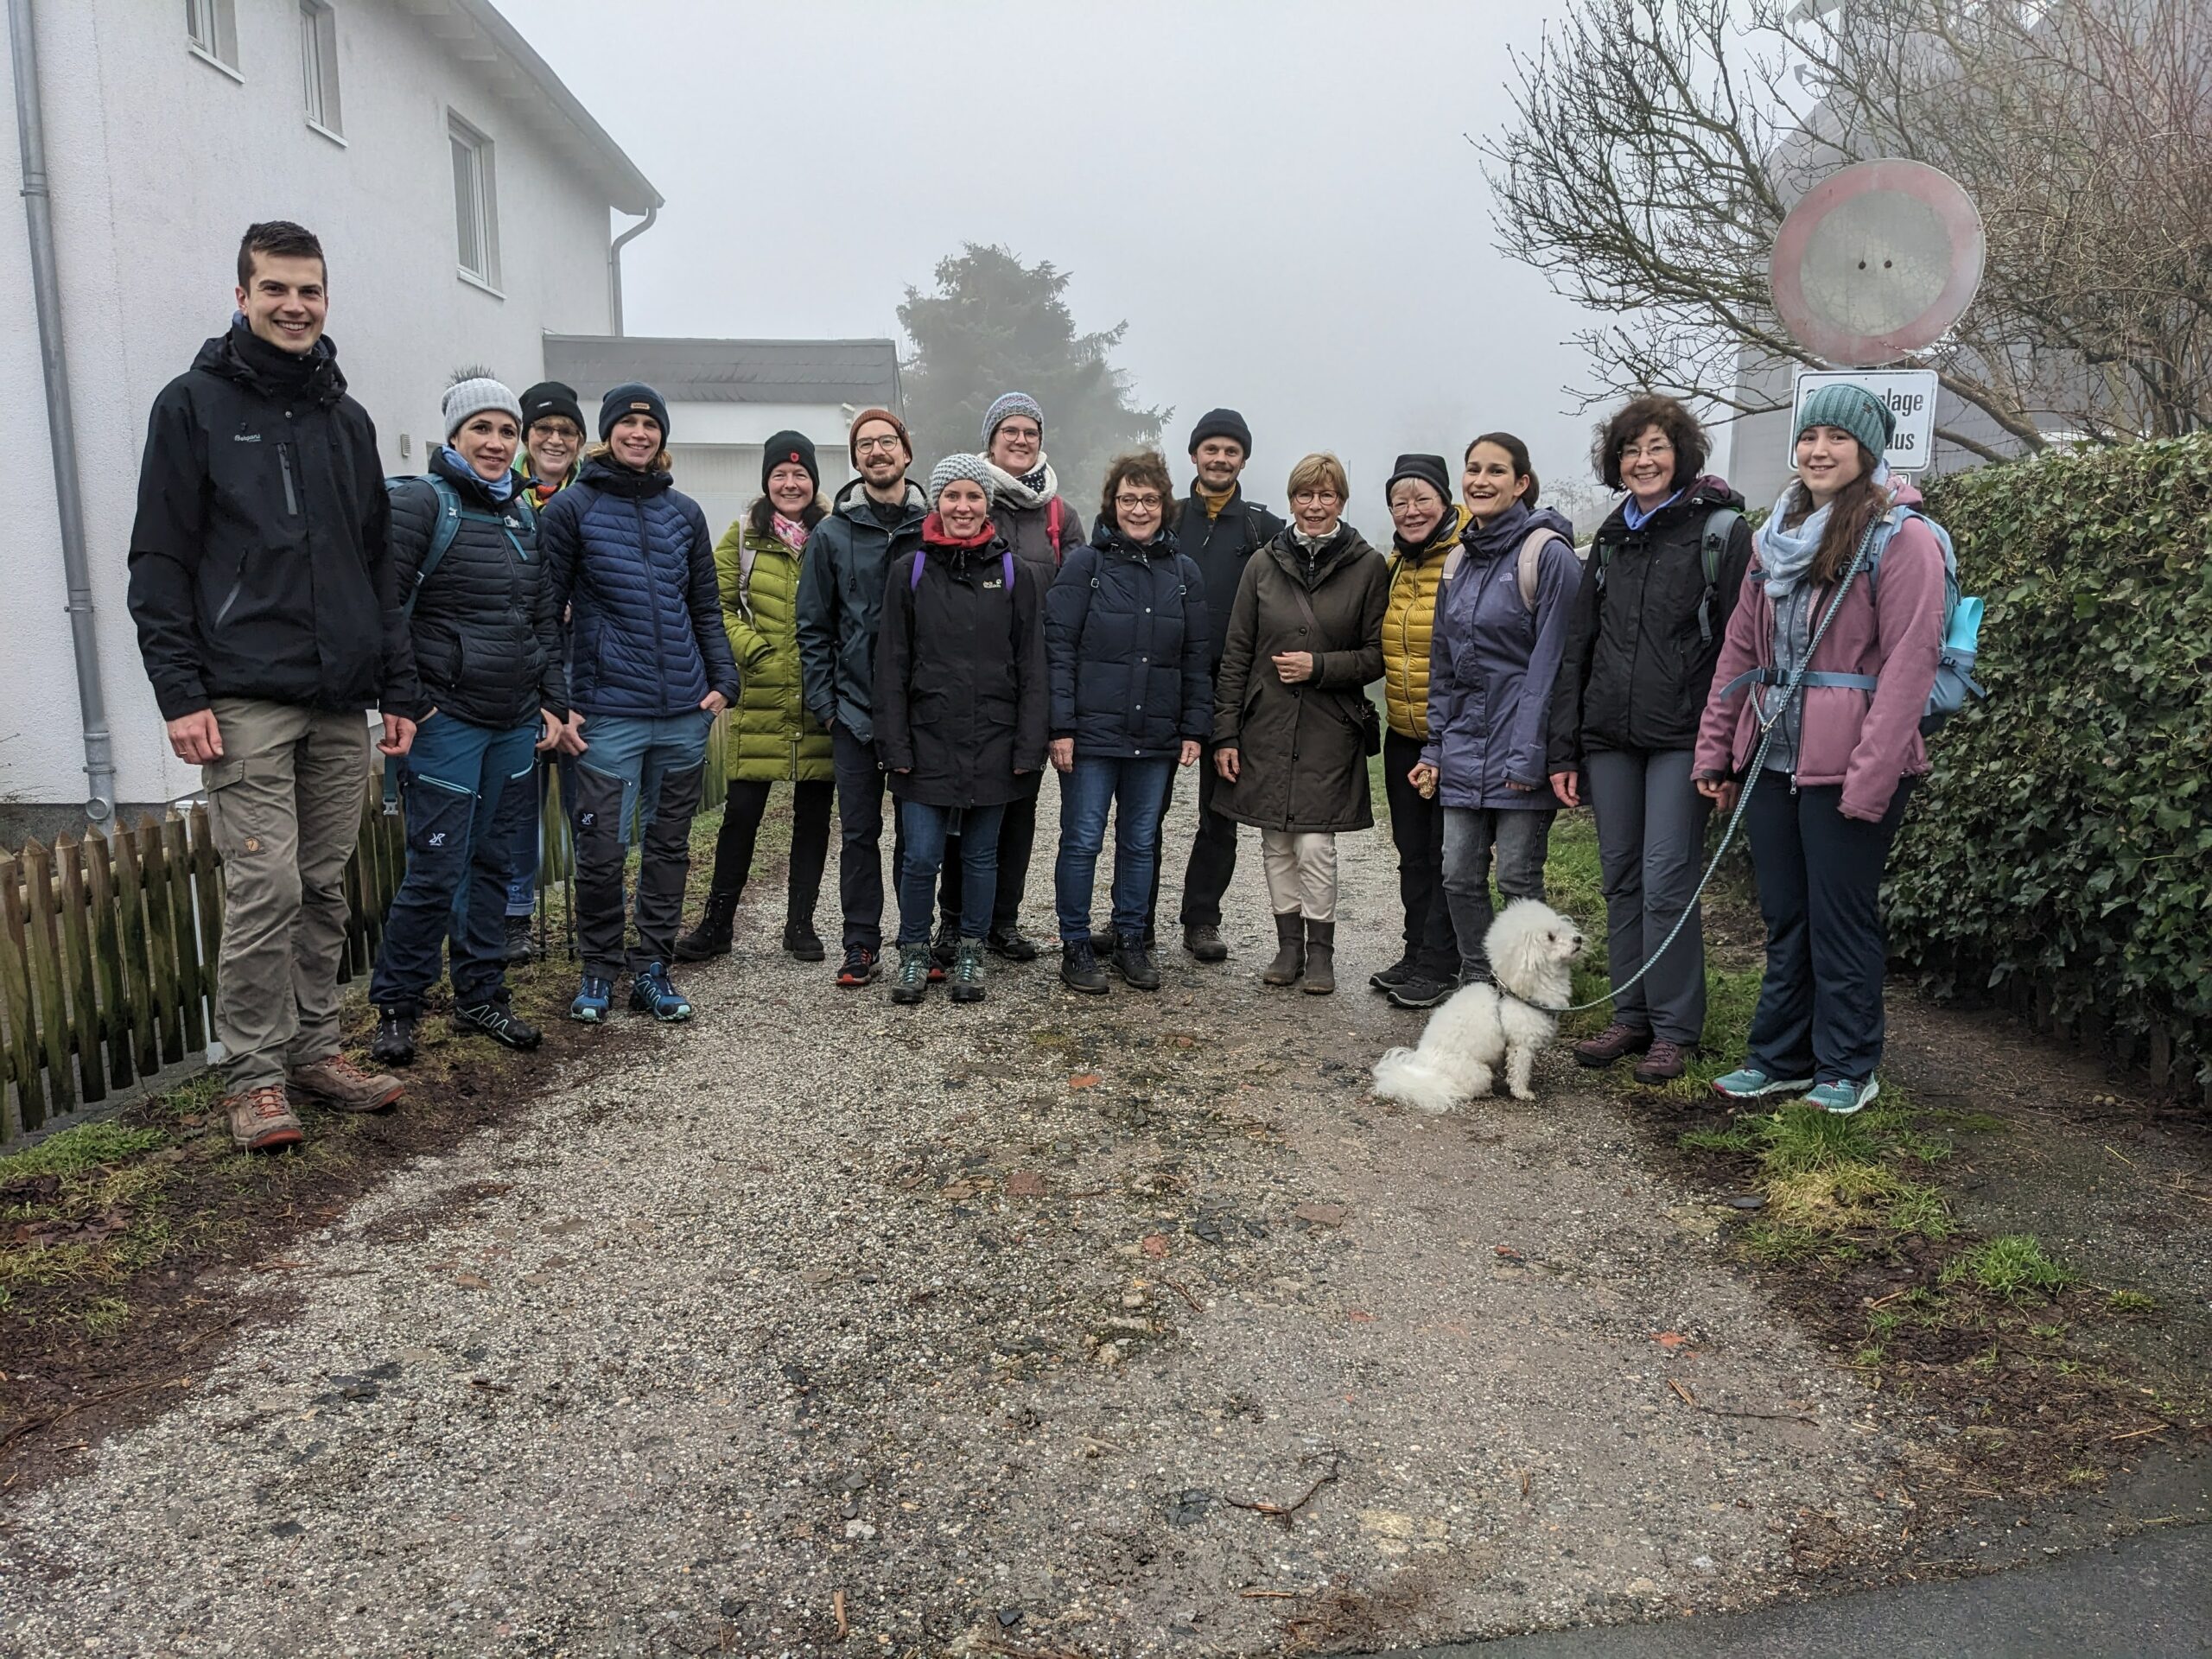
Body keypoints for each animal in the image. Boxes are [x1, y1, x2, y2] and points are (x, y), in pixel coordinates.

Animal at [1362, 898, 1592, 1119]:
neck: (1517, 988)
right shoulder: (1521, 1044)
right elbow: (1519, 1071)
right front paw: (1523, 1093)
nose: (1578, 939)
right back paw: (1484, 1092)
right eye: (1551, 937)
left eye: (1561, 927)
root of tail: (1426, 1074)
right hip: (1478, 1072)